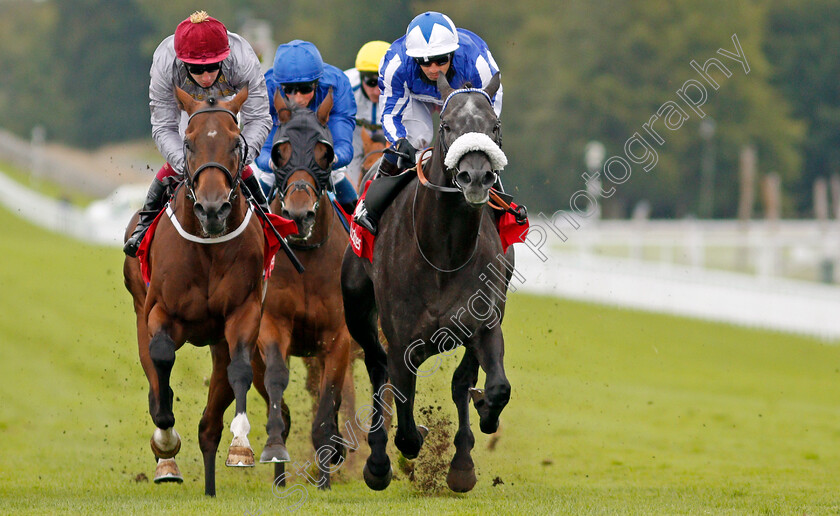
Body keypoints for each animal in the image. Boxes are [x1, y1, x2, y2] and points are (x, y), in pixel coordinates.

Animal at [121, 87, 264, 496]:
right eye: (188, 142)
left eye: (235, 143)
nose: (213, 208)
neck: (209, 246)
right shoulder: (160, 313)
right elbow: (161, 364)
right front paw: (166, 443)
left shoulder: (244, 311)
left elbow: (241, 368)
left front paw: (241, 446)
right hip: (140, 309)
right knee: (154, 373)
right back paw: (166, 461)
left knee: (213, 410)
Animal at [251, 90, 352, 490]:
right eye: (280, 151)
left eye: (325, 152)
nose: (298, 214)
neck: (306, 258)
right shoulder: (271, 325)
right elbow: (277, 381)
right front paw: (276, 448)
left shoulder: (339, 336)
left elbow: (328, 401)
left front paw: (326, 470)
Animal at [342, 71, 512, 492]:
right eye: (447, 125)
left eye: (495, 125)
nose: (476, 176)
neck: (443, 254)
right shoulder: (402, 338)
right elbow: (402, 407)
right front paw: (403, 446)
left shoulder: (485, 322)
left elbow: (491, 385)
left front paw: (483, 417)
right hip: (356, 308)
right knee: (378, 368)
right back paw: (378, 460)